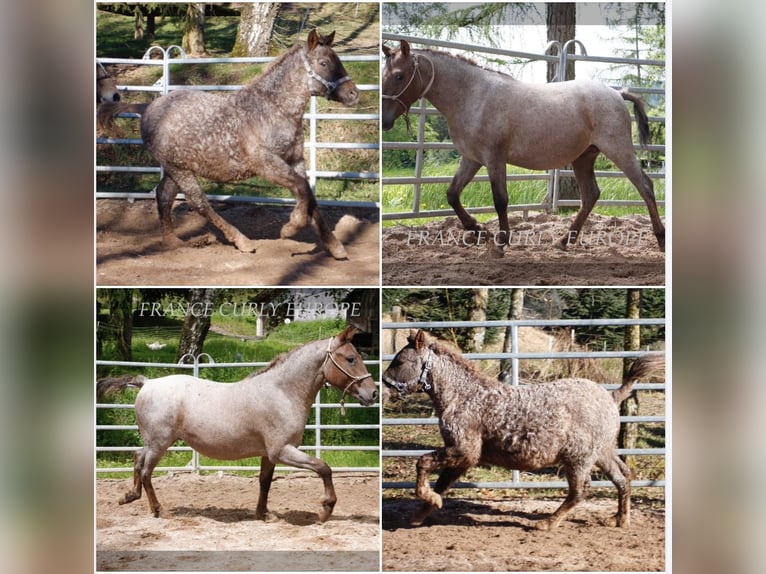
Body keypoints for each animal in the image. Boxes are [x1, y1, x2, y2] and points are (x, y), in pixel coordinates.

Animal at [97, 326, 380, 524]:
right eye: (351, 358)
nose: (373, 393)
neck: (282, 392)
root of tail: (146, 383)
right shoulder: (282, 450)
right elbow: (324, 468)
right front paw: (325, 510)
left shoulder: (269, 454)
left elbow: (265, 481)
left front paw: (264, 514)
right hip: (160, 443)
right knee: (146, 470)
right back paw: (159, 510)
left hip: (153, 442)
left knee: (137, 458)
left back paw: (129, 497)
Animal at [98, 31, 360, 260]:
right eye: (324, 63)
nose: (353, 93)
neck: (273, 109)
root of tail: (147, 108)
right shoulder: (266, 164)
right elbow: (302, 189)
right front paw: (291, 227)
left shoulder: (295, 161)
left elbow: (310, 196)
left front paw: (335, 247)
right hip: (180, 171)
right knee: (199, 203)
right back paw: (241, 241)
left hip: (176, 169)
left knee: (164, 196)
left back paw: (174, 242)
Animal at [382, 40, 664, 256]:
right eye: (385, 76)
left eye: (399, 76)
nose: (385, 121)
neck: (473, 96)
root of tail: (617, 93)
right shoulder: (471, 159)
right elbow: (452, 194)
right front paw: (479, 231)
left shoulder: (494, 158)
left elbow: (500, 200)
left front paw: (500, 242)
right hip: (584, 158)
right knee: (591, 195)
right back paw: (564, 241)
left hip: (618, 150)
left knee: (645, 186)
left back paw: (660, 239)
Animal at [384, 328, 664, 532]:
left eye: (400, 360)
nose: (383, 390)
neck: (464, 397)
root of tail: (611, 396)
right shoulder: (464, 457)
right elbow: (442, 483)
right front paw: (421, 514)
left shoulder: (464, 450)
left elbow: (423, 463)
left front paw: (429, 500)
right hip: (602, 453)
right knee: (623, 477)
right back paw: (620, 520)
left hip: (578, 458)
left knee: (580, 491)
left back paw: (546, 523)